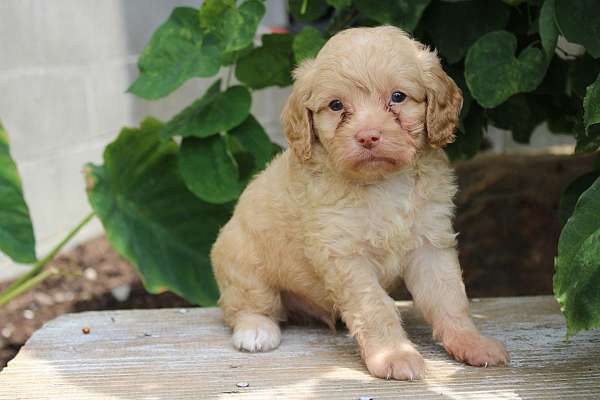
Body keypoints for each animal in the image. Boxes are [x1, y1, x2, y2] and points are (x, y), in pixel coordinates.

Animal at [211, 26, 506, 380]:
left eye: (398, 97)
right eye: (336, 105)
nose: (367, 136)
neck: (383, 184)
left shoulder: (430, 242)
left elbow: (449, 296)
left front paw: (470, 343)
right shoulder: (344, 255)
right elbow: (375, 306)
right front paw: (394, 355)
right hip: (243, 259)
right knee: (246, 305)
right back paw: (256, 330)